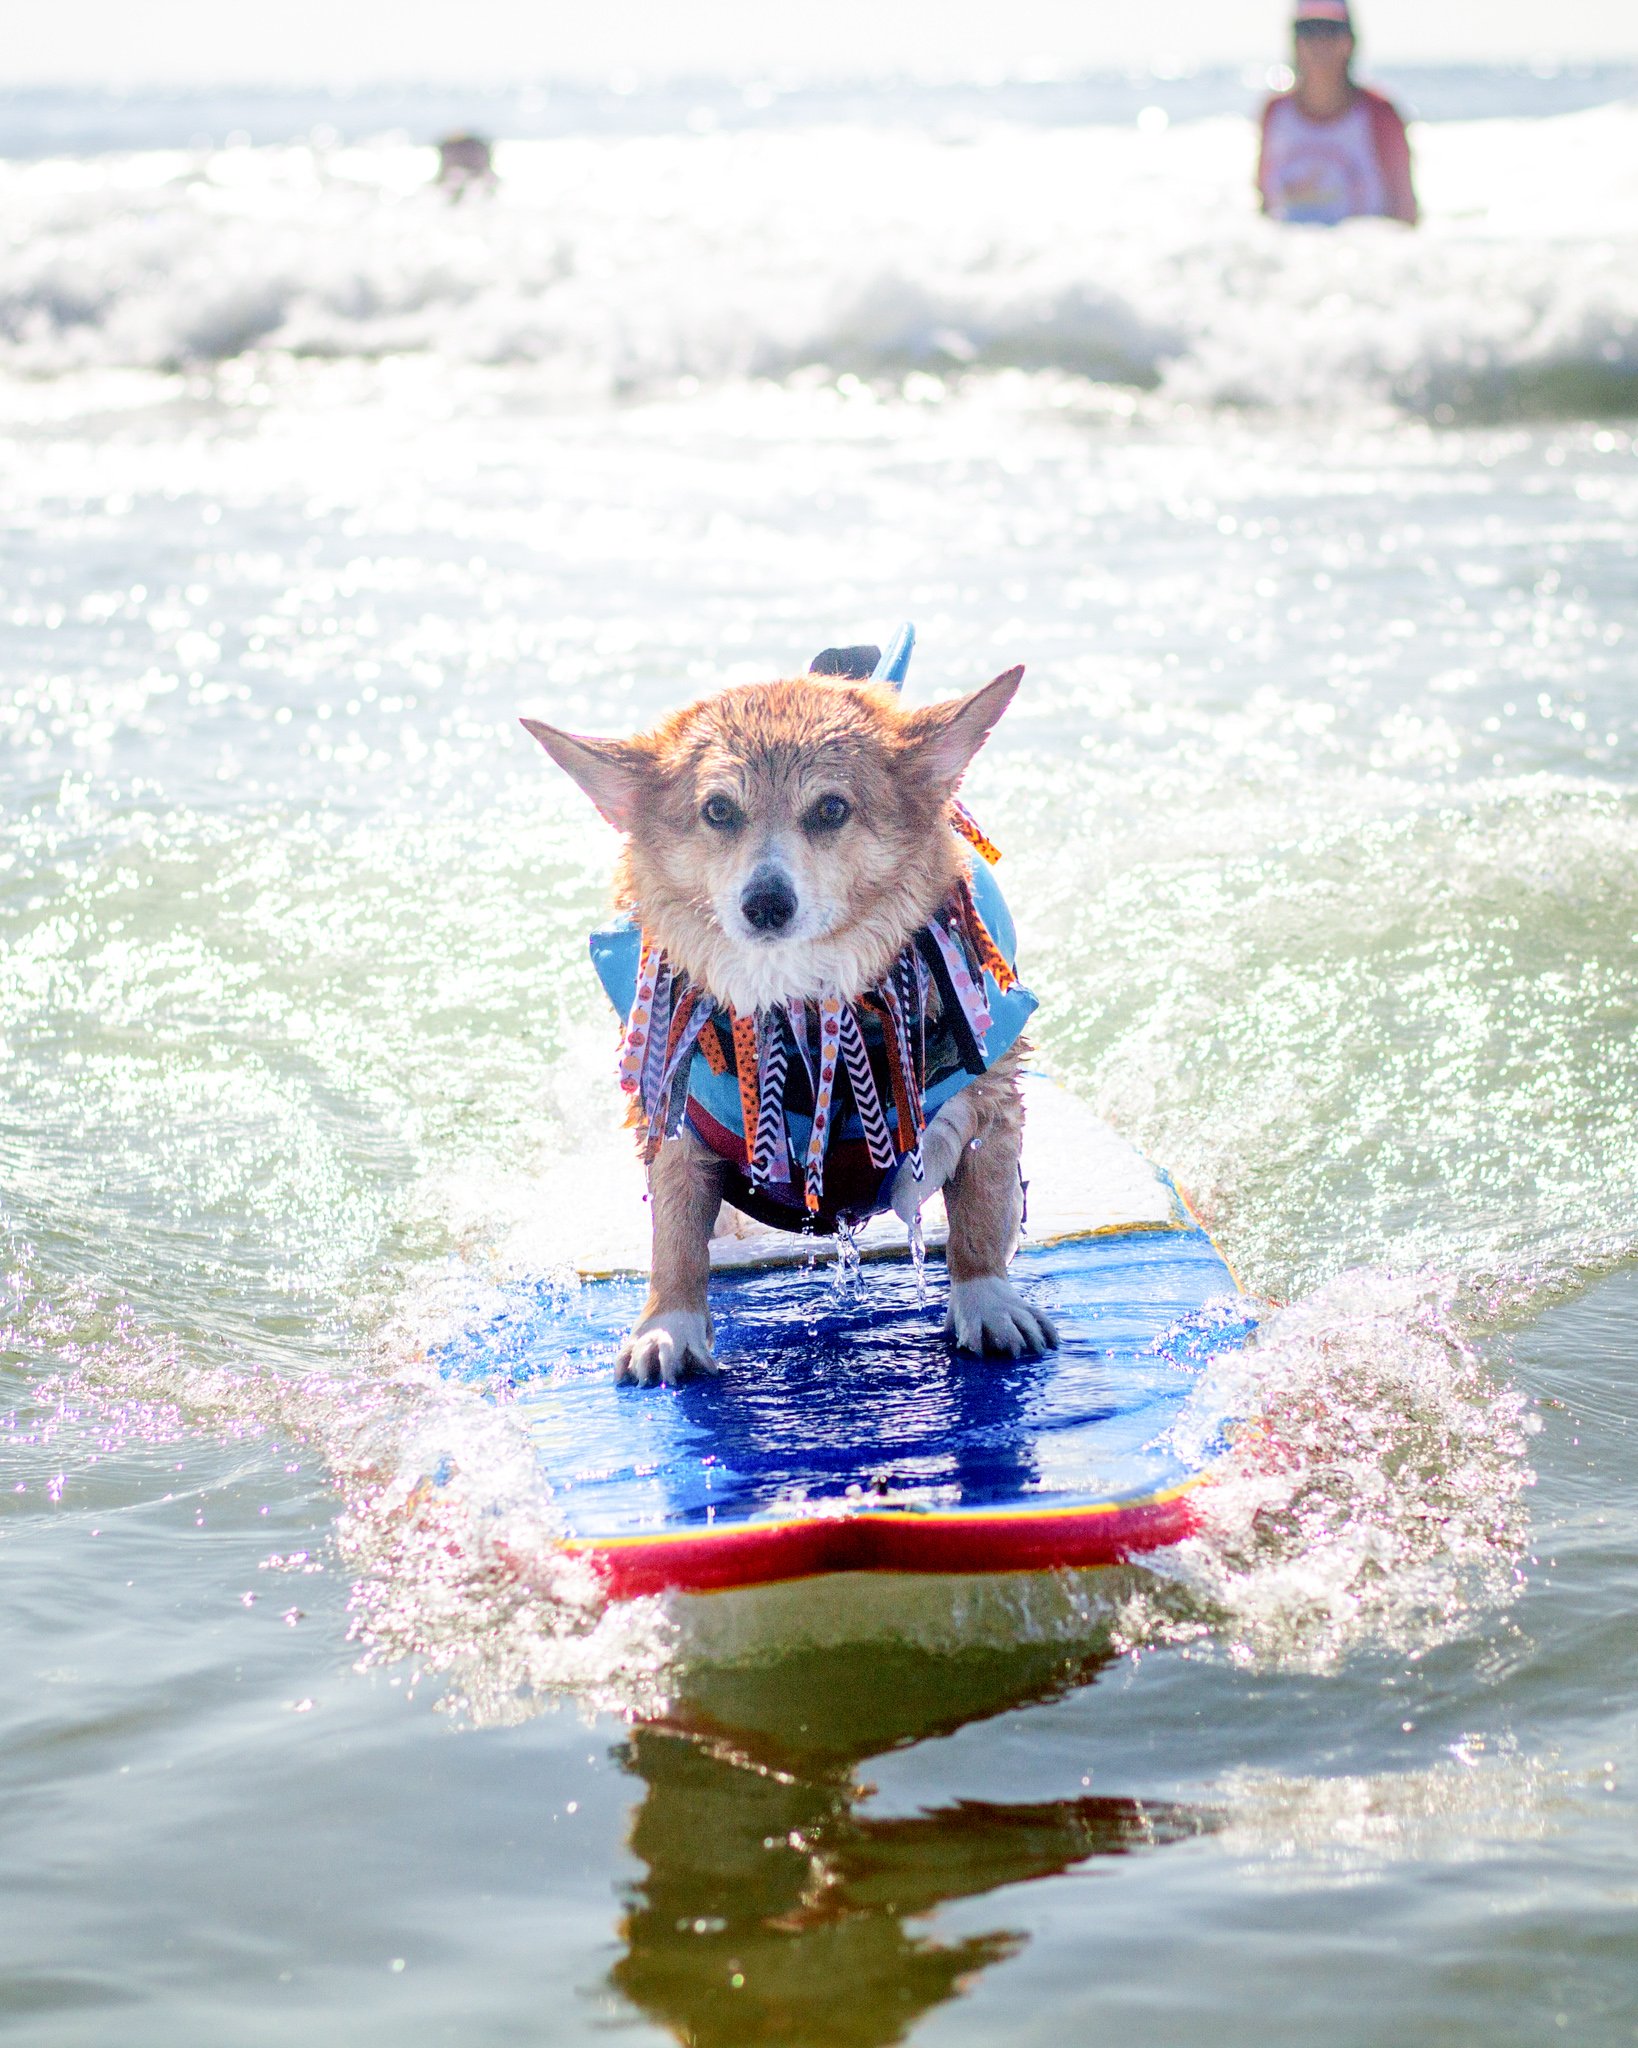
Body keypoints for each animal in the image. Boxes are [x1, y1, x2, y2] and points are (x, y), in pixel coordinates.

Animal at [524, 663, 1064, 1384]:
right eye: (718, 810)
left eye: (831, 808)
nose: (765, 903)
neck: (803, 1003)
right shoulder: (676, 1122)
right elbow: (675, 1239)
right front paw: (667, 1327)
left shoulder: (987, 1102)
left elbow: (978, 1217)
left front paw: (988, 1302)